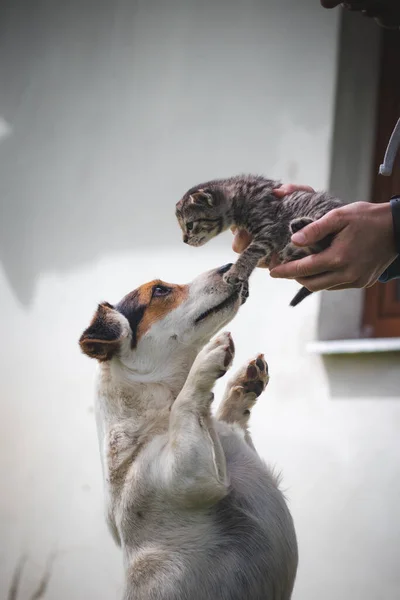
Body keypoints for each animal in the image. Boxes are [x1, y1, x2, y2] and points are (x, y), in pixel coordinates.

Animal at [79, 264, 296, 600]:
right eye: (159, 290)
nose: (228, 266)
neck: (154, 420)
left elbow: (227, 416)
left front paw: (241, 387)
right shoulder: (191, 475)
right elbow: (186, 400)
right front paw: (206, 359)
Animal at [176, 172, 344, 304]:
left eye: (189, 225)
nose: (184, 240)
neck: (239, 195)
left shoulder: (270, 227)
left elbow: (251, 251)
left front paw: (235, 272)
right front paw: (243, 283)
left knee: (324, 240)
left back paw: (298, 230)